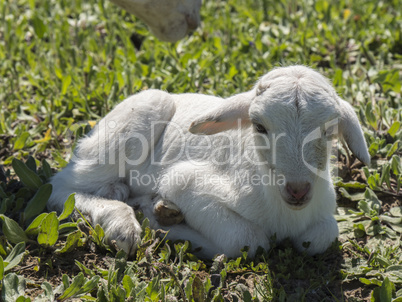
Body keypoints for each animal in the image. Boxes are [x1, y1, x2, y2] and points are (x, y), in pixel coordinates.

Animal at [48, 65, 370, 258]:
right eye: (259, 126)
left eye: (329, 130)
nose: (298, 190)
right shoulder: (183, 182)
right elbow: (249, 240)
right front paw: (165, 224)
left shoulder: (323, 216)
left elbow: (321, 236)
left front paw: (163, 215)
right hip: (130, 124)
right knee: (61, 187)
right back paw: (123, 222)